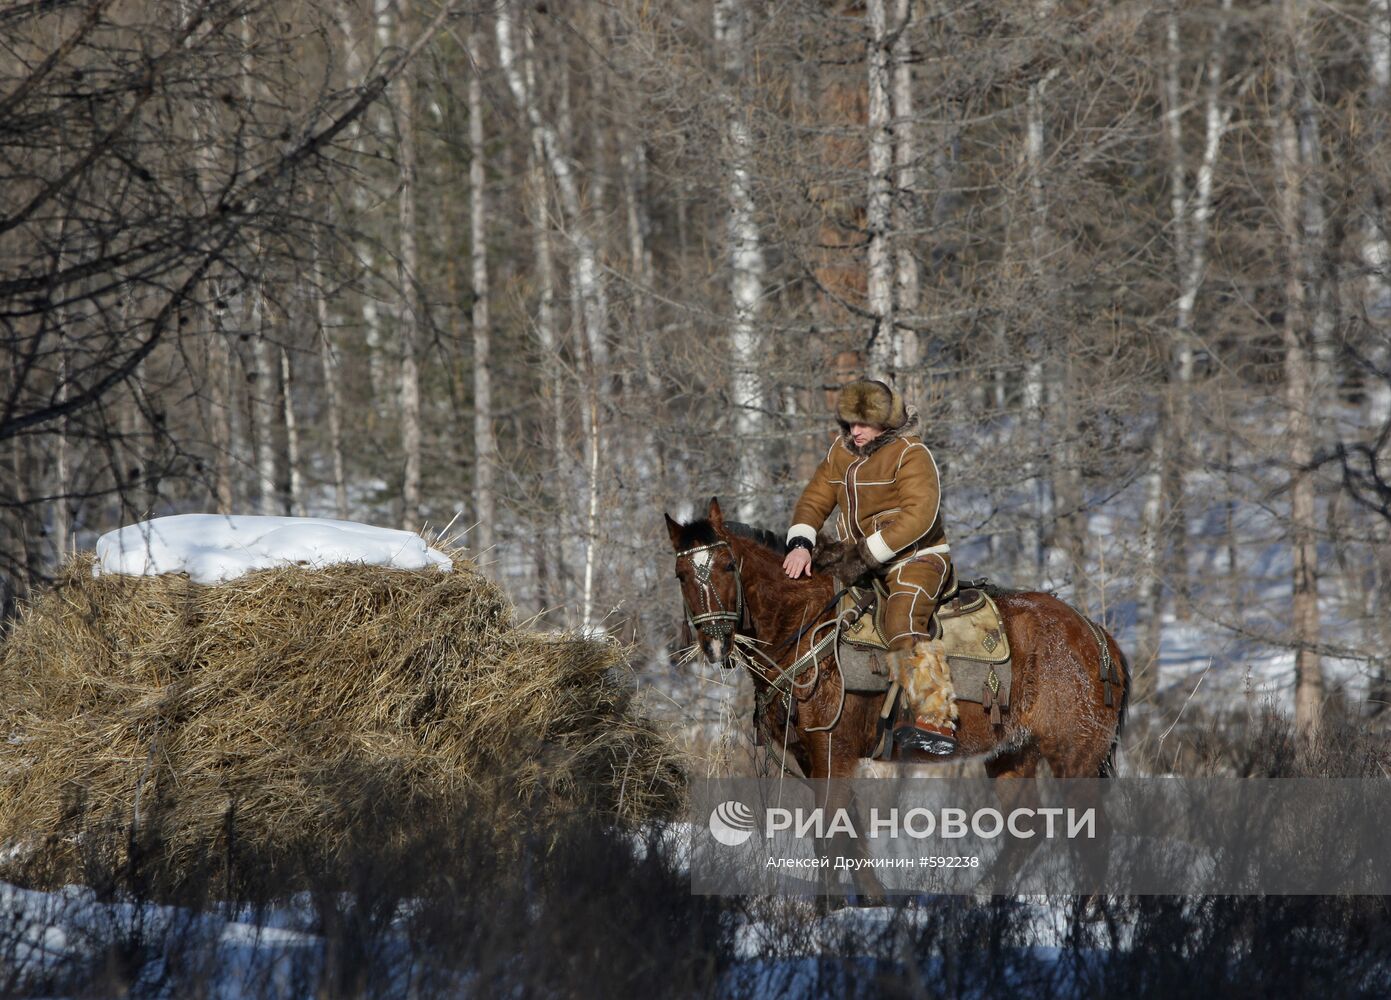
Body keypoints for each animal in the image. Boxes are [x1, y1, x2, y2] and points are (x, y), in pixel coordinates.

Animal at [664, 497, 1129, 784]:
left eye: (728, 565)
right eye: (681, 575)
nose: (716, 643)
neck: (805, 627)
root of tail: (1099, 637)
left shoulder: (833, 755)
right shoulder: (811, 759)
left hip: (1075, 758)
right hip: (1012, 755)